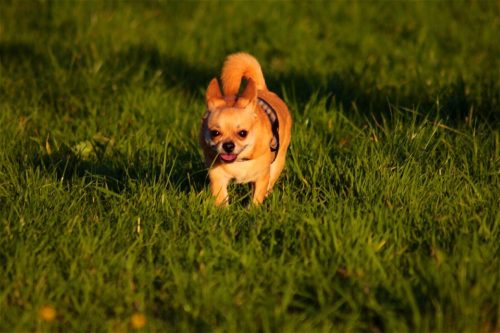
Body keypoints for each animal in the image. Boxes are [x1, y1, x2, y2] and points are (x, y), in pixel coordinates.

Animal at [200, 52, 292, 205]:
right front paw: (222, 210)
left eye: (243, 133)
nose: (228, 145)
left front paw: (254, 209)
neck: (238, 161)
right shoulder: (217, 177)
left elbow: (257, 198)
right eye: (215, 133)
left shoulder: (261, 177)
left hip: (278, 162)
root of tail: (261, 89)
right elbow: (221, 197)